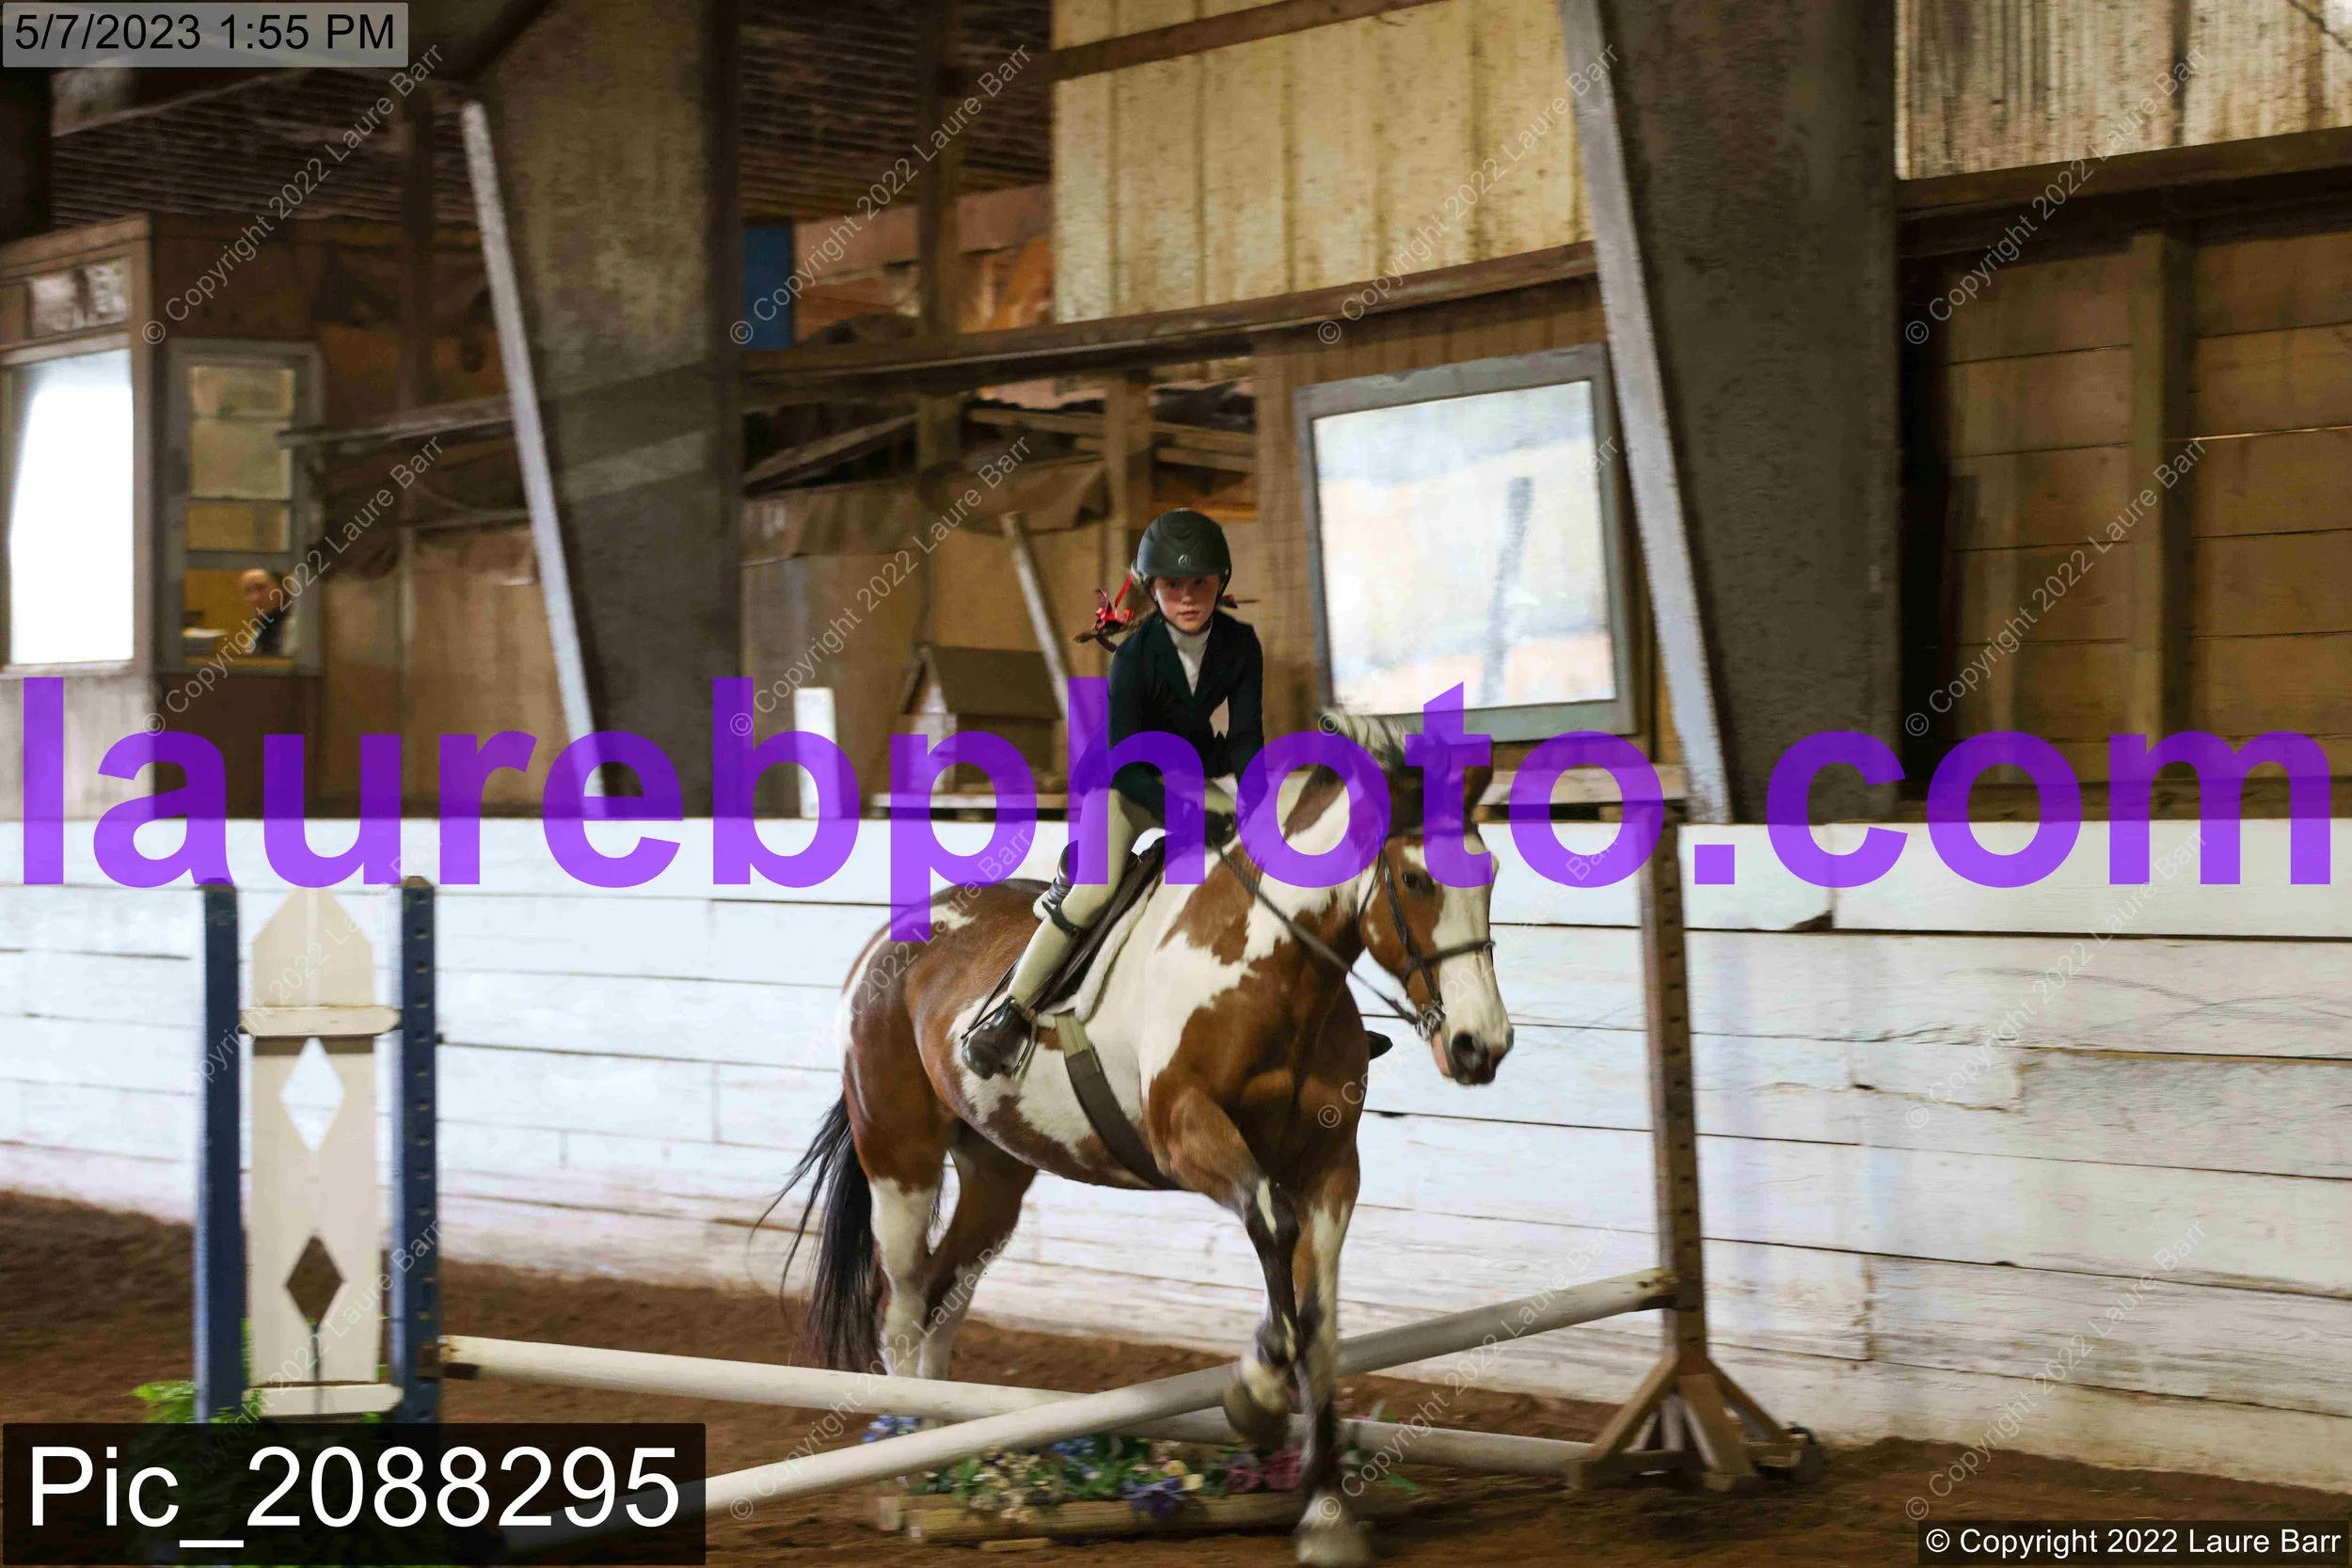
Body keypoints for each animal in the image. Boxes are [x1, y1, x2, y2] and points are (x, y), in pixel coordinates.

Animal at [775, 734, 1514, 1567]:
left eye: (1490, 874)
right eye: (1416, 878)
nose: (1481, 1045)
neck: (1270, 972)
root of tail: (891, 936)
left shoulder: (1330, 1167)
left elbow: (1320, 1322)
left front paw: (1325, 1511)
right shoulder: (1189, 1133)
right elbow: (1273, 1226)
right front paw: (1256, 1395)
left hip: (996, 1171)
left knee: (944, 1295)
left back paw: (947, 1451)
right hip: (899, 1159)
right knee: (901, 1303)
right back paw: (911, 1463)